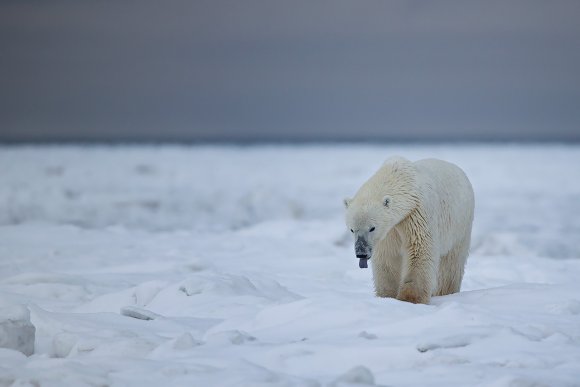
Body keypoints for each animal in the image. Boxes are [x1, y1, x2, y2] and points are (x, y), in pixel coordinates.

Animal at [342, 156, 474, 304]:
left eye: (372, 228)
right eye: (352, 229)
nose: (361, 253)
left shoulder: (416, 215)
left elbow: (419, 250)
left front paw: (410, 298)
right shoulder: (390, 230)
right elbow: (388, 256)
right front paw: (387, 295)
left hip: (460, 226)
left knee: (450, 265)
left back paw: (445, 291)